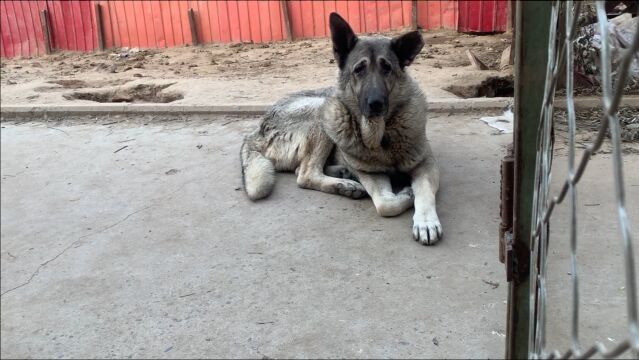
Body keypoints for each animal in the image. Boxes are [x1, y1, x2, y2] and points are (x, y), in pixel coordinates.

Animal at [242, 13, 442, 245]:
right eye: (359, 70)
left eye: (387, 68)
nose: (376, 104)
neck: (381, 134)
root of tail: (257, 131)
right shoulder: (371, 174)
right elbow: (386, 204)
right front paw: (408, 194)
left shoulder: (426, 164)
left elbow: (425, 193)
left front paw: (426, 222)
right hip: (323, 109)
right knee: (306, 174)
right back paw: (345, 184)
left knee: (301, 169)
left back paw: (344, 176)